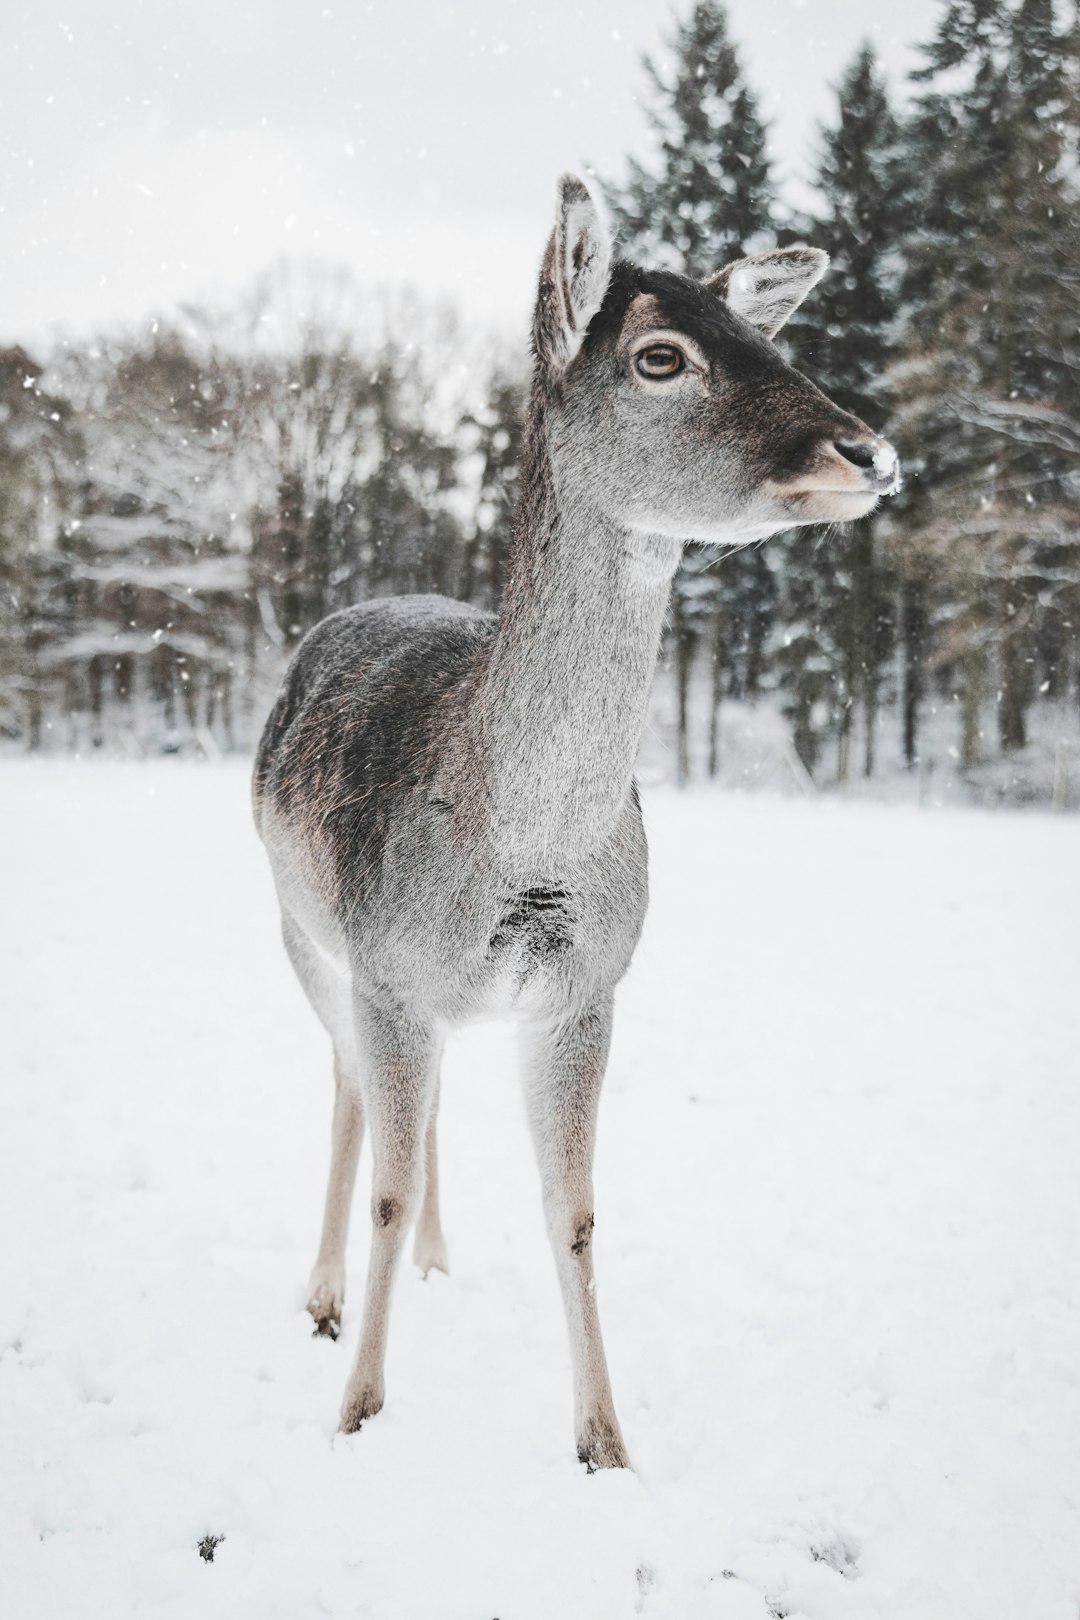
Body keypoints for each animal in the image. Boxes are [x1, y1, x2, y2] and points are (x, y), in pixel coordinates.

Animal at [250, 174, 893, 1470]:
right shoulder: (389, 970)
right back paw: (323, 1297)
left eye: (771, 337)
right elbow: (386, 1180)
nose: (867, 449)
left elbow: (578, 1210)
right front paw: (357, 1411)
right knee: (347, 1088)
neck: (527, 852)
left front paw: (605, 1441)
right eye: (661, 356)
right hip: (301, 934)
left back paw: (438, 1261)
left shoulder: (588, 987)